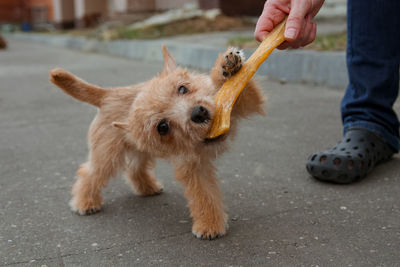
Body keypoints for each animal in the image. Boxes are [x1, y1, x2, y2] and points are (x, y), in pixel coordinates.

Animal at [50, 45, 264, 240]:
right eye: (162, 127)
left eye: (182, 88)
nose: (198, 113)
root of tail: (108, 94)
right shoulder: (193, 167)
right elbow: (204, 195)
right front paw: (209, 225)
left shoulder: (244, 103)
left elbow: (239, 86)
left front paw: (227, 68)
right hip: (107, 155)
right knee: (90, 173)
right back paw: (84, 203)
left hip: (139, 151)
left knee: (133, 169)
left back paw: (147, 188)